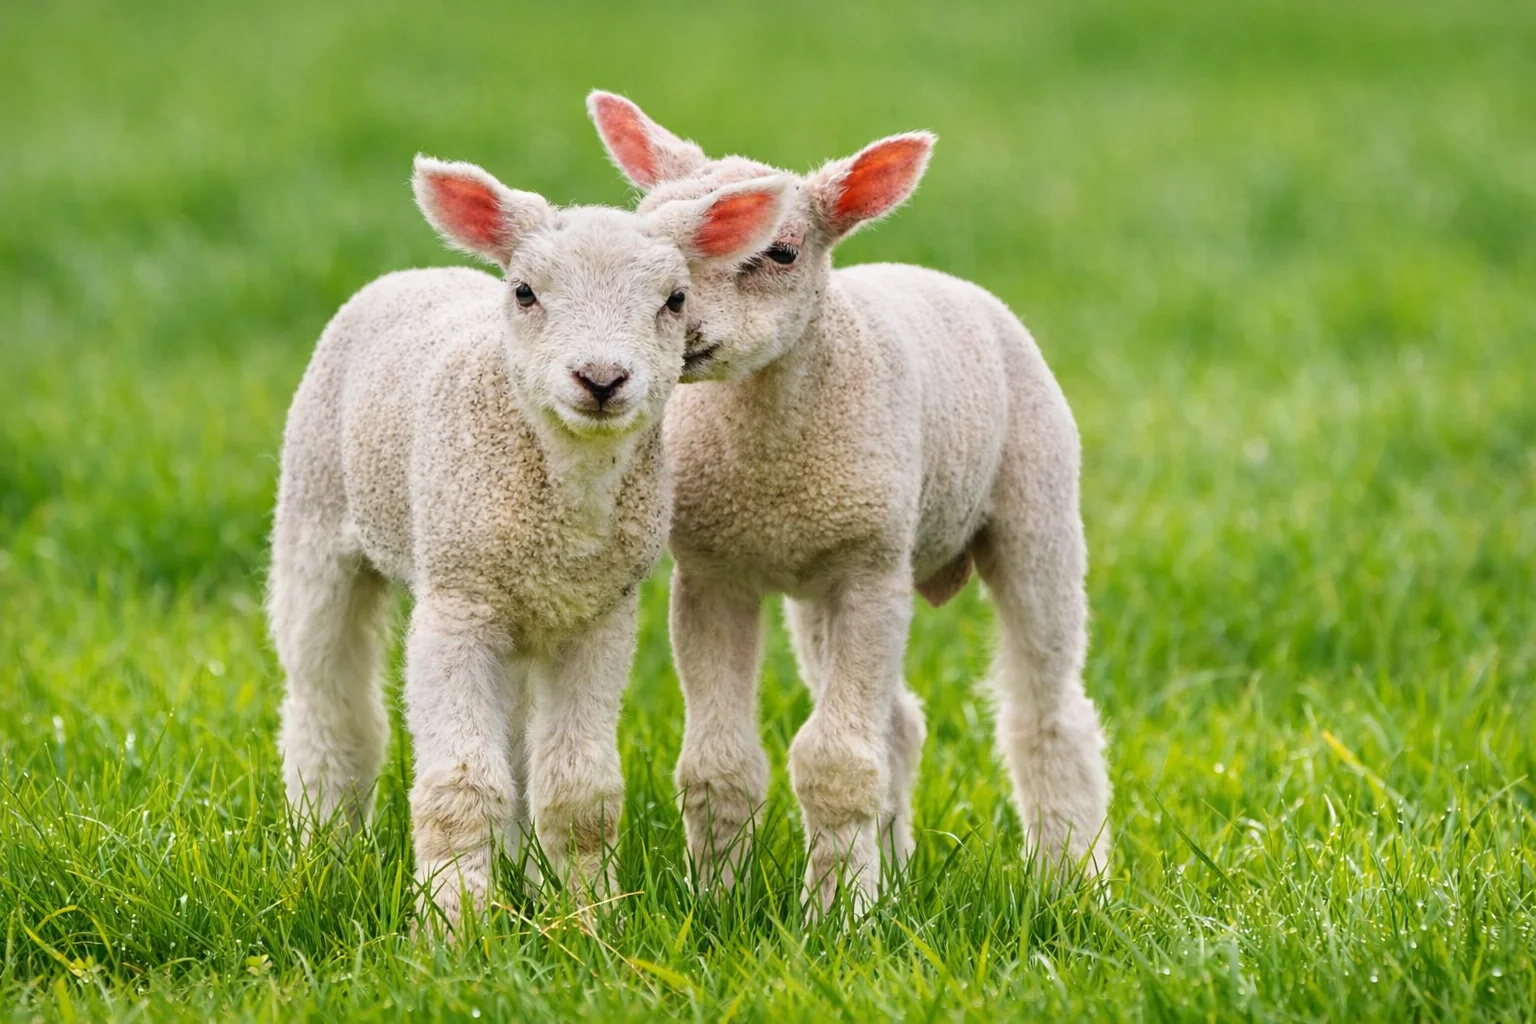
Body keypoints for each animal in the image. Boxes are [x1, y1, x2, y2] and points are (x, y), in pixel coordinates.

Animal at [268, 153, 788, 928]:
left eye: (674, 300)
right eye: (525, 292)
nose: (601, 379)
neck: (567, 500)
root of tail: (415, 272)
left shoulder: (599, 616)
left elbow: (580, 795)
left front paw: (589, 920)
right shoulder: (455, 605)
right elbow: (458, 791)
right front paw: (452, 928)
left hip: (517, 609)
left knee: (513, 740)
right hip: (317, 515)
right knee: (329, 708)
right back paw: (321, 849)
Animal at [587, 92, 1112, 912]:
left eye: (781, 252)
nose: (682, 328)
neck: (770, 464)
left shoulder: (871, 571)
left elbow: (835, 762)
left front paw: (837, 916)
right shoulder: (713, 575)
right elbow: (719, 765)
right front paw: (719, 903)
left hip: (1036, 507)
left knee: (1048, 711)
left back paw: (1070, 879)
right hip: (821, 580)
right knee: (899, 725)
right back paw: (893, 875)